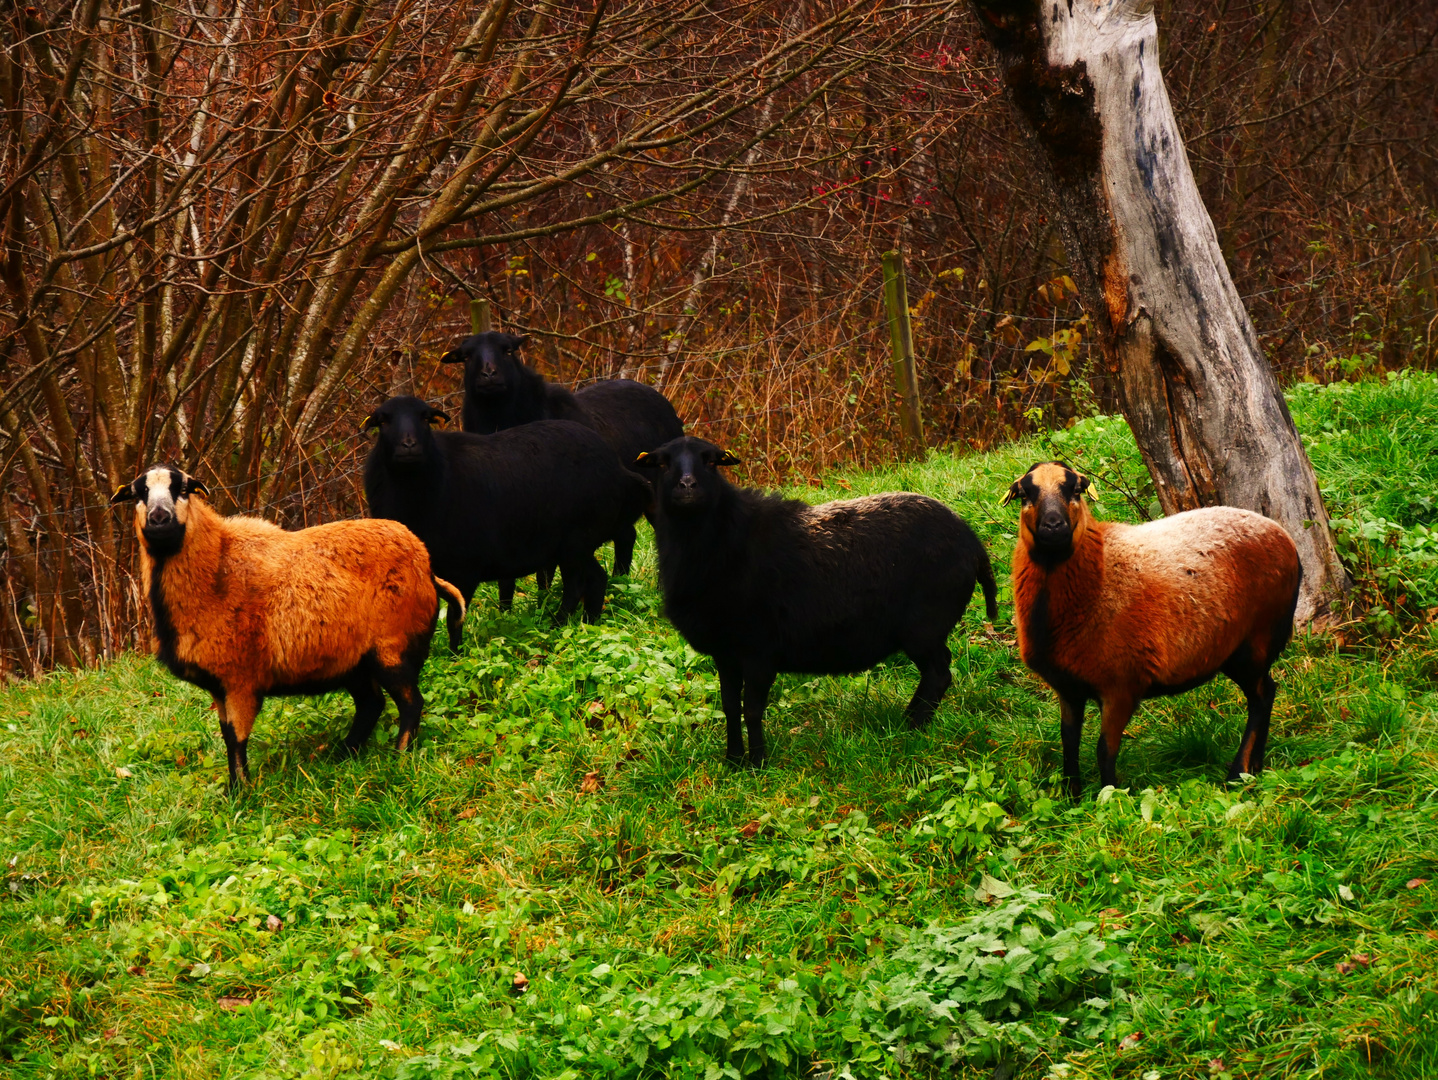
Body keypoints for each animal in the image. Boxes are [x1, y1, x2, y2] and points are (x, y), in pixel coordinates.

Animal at [113, 463, 460, 788]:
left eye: (183, 488)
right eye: (139, 492)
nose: (159, 518)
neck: (217, 566)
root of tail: (426, 565)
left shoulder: (240, 679)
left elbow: (236, 740)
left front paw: (241, 794)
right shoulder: (219, 687)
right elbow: (227, 736)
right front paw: (235, 789)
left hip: (392, 647)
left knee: (411, 704)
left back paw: (400, 758)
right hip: (353, 661)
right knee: (372, 704)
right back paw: (341, 756)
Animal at [362, 399, 649, 647]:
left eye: (425, 418)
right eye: (383, 421)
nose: (408, 445)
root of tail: (617, 466)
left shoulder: (465, 566)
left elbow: (455, 618)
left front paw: (456, 654)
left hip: (577, 540)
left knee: (577, 584)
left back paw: (557, 625)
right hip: (573, 544)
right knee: (596, 579)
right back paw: (589, 623)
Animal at [440, 333, 681, 595]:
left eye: (508, 351)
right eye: (466, 356)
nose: (489, 375)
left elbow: (544, 569)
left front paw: (543, 600)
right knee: (627, 536)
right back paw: (620, 583)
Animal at [641, 434, 1000, 765]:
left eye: (711, 461)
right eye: (663, 463)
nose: (688, 486)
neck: (720, 542)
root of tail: (973, 543)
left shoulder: (760, 650)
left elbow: (752, 709)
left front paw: (757, 763)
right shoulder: (725, 652)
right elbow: (730, 706)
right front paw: (732, 761)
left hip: (924, 626)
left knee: (938, 674)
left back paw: (914, 728)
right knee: (935, 674)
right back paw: (904, 722)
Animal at [1000, 460, 1305, 799]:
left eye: (1075, 489)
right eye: (1024, 493)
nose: (1054, 526)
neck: (1098, 570)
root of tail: (1282, 534)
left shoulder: (1121, 685)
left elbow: (1105, 750)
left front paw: (1110, 798)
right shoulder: (1068, 687)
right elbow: (1069, 743)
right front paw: (1072, 797)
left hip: (1256, 641)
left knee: (1262, 696)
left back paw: (1238, 772)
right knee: (1266, 692)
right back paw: (1255, 767)